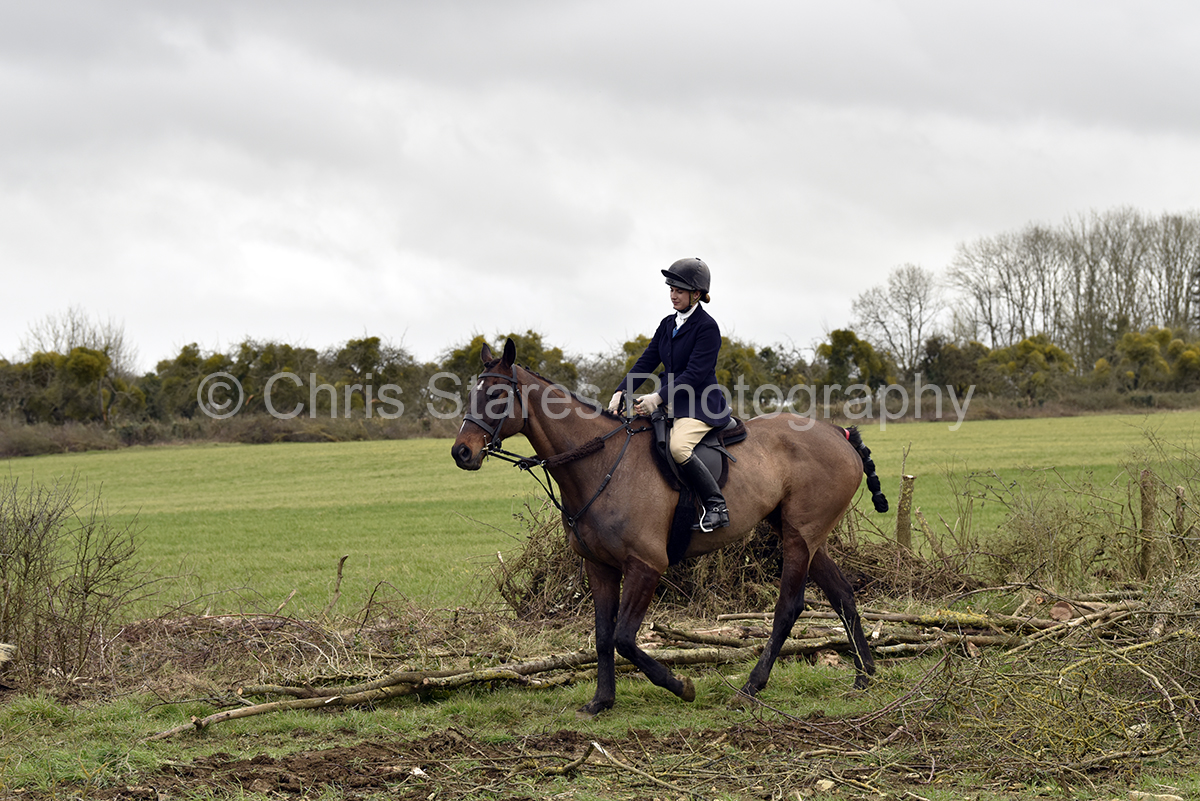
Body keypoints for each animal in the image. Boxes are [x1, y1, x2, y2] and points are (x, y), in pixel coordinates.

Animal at [451, 338, 889, 718]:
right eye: (472, 393)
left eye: (497, 395)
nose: (461, 452)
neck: (599, 463)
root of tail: (836, 432)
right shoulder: (599, 567)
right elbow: (603, 635)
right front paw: (601, 701)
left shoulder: (646, 565)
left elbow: (625, 638)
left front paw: (681, 686)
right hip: (802, 534)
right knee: (842, 594)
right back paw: (863, 677)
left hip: (800, 536)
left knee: (789, 607)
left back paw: (751, 687)